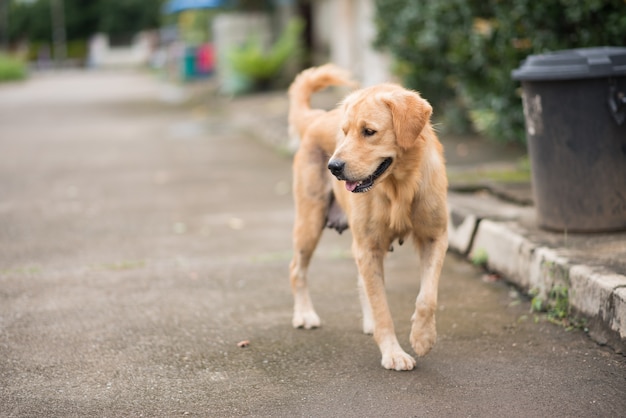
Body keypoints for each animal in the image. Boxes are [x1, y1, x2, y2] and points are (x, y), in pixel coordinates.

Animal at [286, 63, 446, 370]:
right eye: (345, 132)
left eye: (369, 131)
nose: (333, 167)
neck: (399, 186)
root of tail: (317, 118)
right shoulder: (368, 247)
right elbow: (383, 308)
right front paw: (393, 352)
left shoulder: (435, 237)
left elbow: (427, 297)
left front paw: (423, 337)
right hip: (310, 224)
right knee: (297, 269)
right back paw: (304, 315)